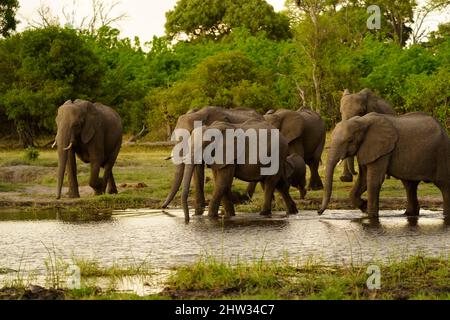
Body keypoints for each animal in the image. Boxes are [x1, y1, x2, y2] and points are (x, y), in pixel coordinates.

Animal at [316, 111, 450, 219]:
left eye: (349, 140)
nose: (318, 212)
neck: (362, 121)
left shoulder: (382, 150)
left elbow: (373, 181)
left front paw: (371, 216)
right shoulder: (366, 149)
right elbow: (363, 180)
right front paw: (364, 207)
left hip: (442, 153)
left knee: (444, 185)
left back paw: (445, 215)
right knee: (410, 185)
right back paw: (409, 214)